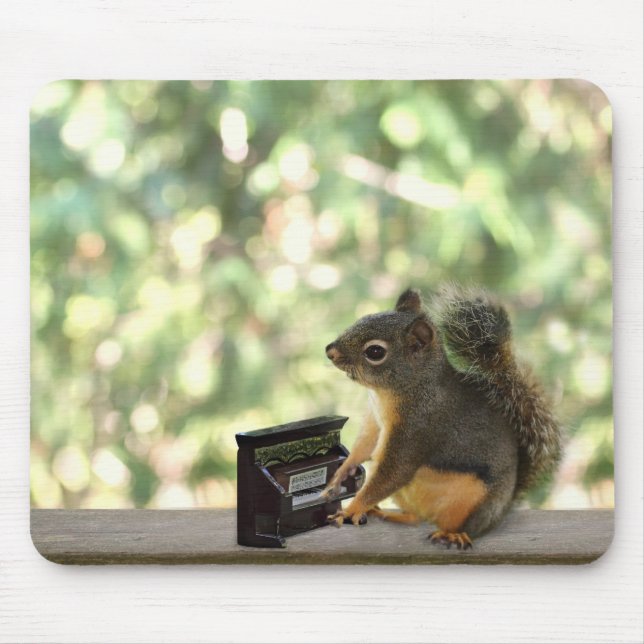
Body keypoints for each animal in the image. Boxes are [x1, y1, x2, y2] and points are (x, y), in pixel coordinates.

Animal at [321, 285, 562, 549]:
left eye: (375, 351)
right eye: (364, 318)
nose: (330, 351)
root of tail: (505, 506)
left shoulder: (418, 428)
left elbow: (393, 474)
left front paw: (350, 510)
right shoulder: (375, 422)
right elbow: (363, 447)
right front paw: (341, 474)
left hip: (477, 503)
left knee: (468, 526)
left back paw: (454, 534)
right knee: (415, 517)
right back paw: (389, 514)